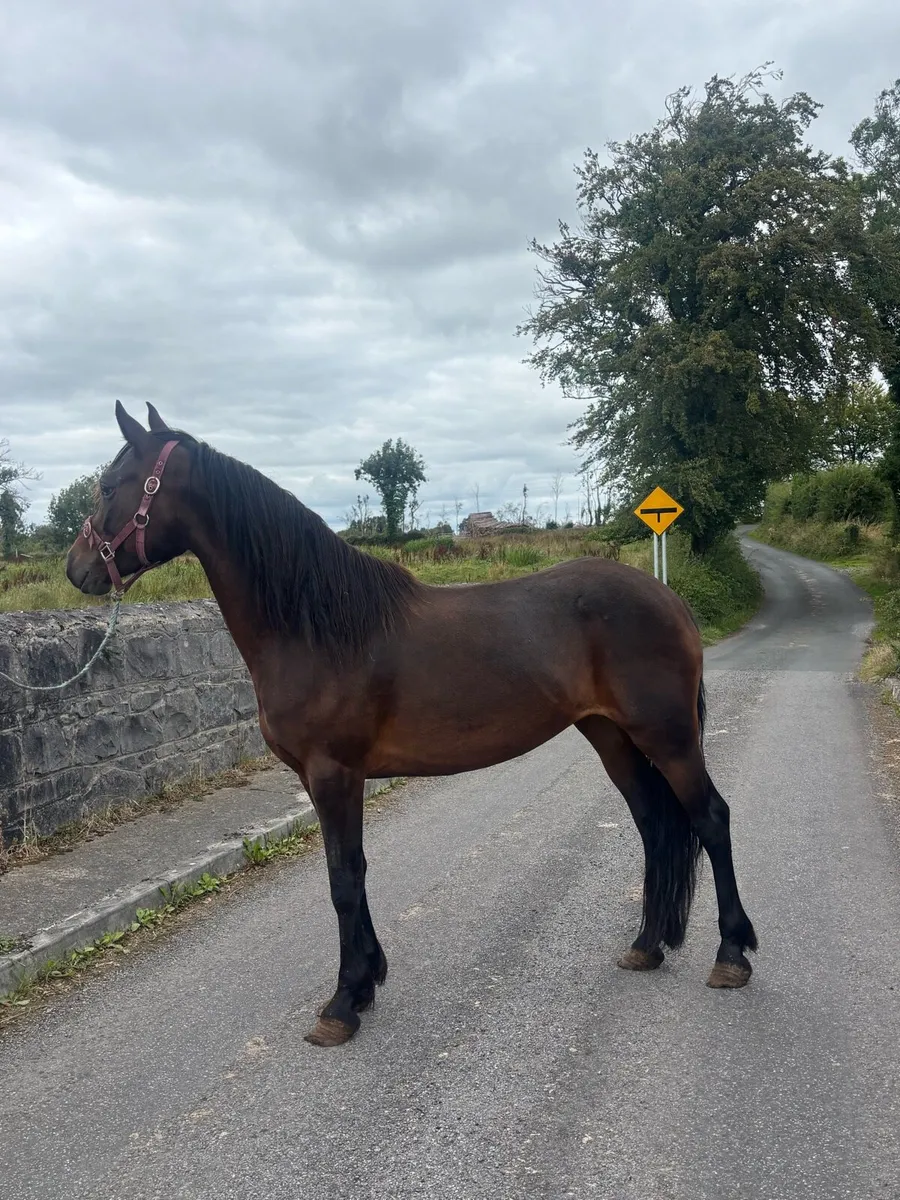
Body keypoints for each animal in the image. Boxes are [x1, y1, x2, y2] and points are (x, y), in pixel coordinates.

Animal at [66, 403, 757, 1047]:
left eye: (108, 485)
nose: (78, 569)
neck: (316, 627)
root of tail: (670, 599)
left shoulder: (333, 774)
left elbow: (343, 879)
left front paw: (342, 1003)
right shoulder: (328, 780)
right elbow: (355, 870)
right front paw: (368, 979)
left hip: (668, 737)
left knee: (710, 818)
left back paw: (731, 955)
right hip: (611, 737)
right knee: (655, 826)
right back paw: (647, 945)